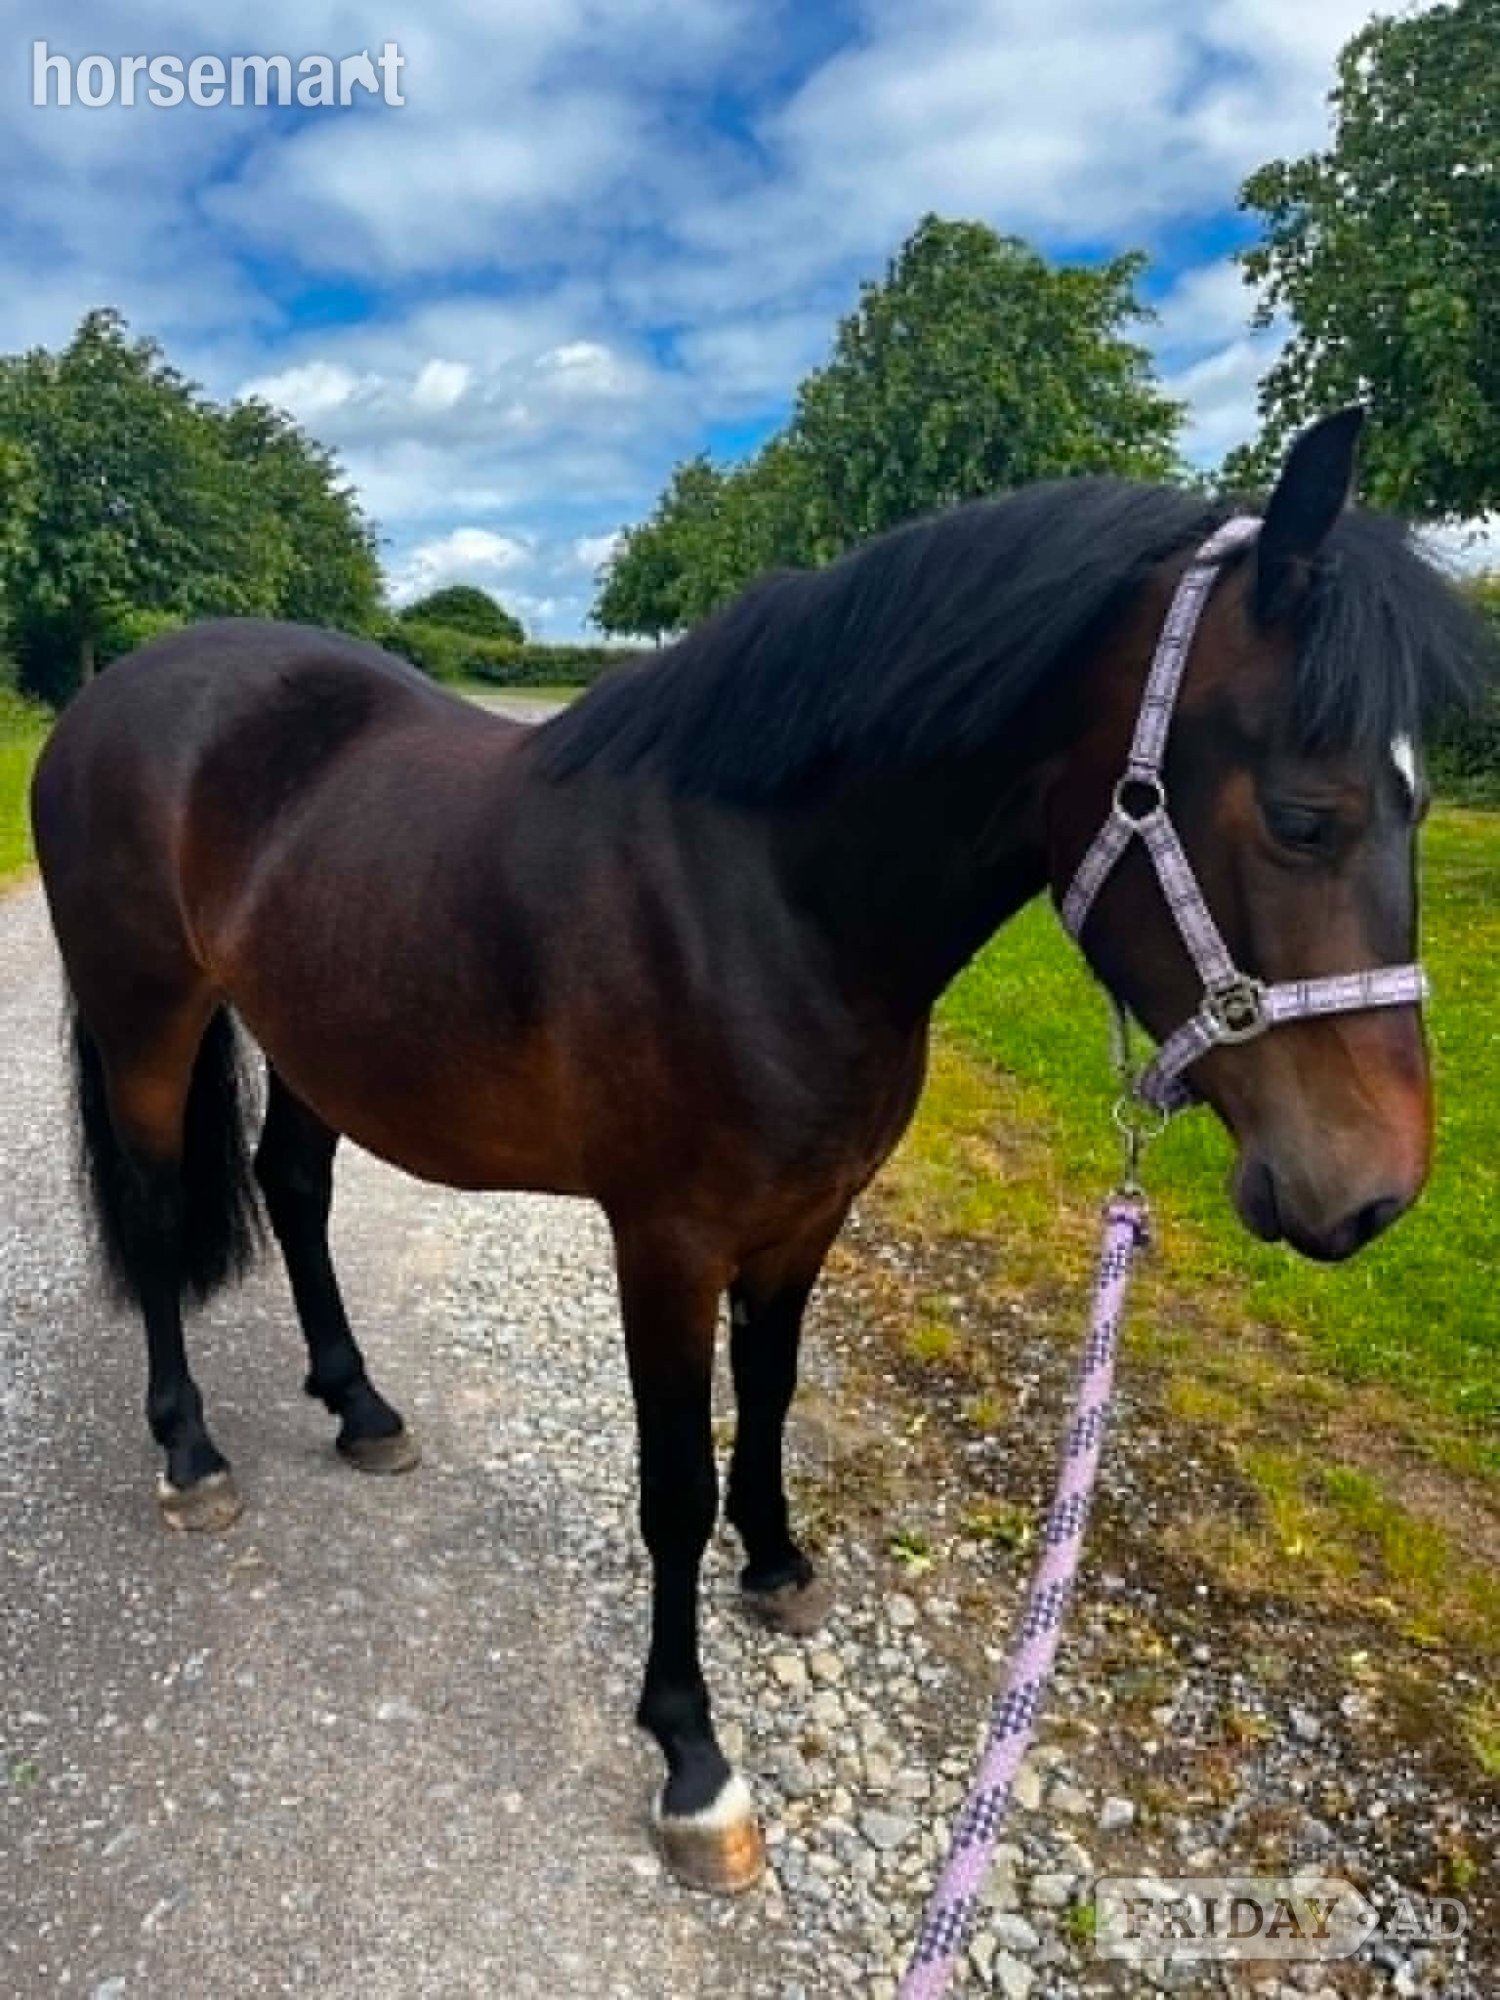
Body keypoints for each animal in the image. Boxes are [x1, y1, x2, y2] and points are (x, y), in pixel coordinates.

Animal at [30, 408, 1482, 1893]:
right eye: (1305, 816)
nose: (1373, 1192)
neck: (765, 896)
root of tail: (113, 692)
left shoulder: (807, 1215)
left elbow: (771, 1397)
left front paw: (777, 1565)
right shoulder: (665, 1243)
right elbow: (671, 1484)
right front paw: (692, 1757)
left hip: (320, 1029)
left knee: (296, 1188)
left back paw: (361, 1406)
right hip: (149, 1020)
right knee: (158, 1214)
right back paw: (192, 1455)